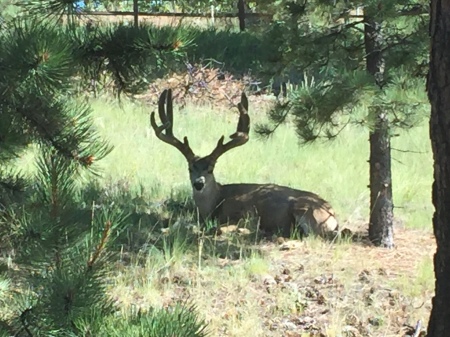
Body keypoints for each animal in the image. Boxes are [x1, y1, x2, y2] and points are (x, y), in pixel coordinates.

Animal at [151, 88, 338, 238]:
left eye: (210, 169)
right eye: (190, 168)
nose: (198, 184)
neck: (215, 203)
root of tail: (333, 214)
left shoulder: (247, 213)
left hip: (304, 209)